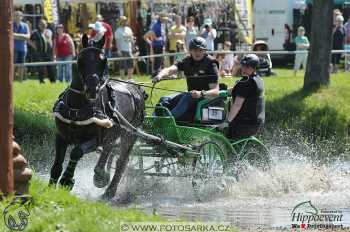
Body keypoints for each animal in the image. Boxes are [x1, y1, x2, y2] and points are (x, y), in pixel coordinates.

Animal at [50, 34, 146, 199]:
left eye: (104, 61)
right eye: (80, 59)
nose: (92, 89)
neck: (78, 107)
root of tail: (136, 88)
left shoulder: (95, 140)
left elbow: (76, 152)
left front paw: (67, 181)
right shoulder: (60, 136)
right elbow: (57, 164)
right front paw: (51, 186)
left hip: (130, 134)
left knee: (121, 161)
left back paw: (110, 191)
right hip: (114, 131)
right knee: (109, 148)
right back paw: (100, 175)